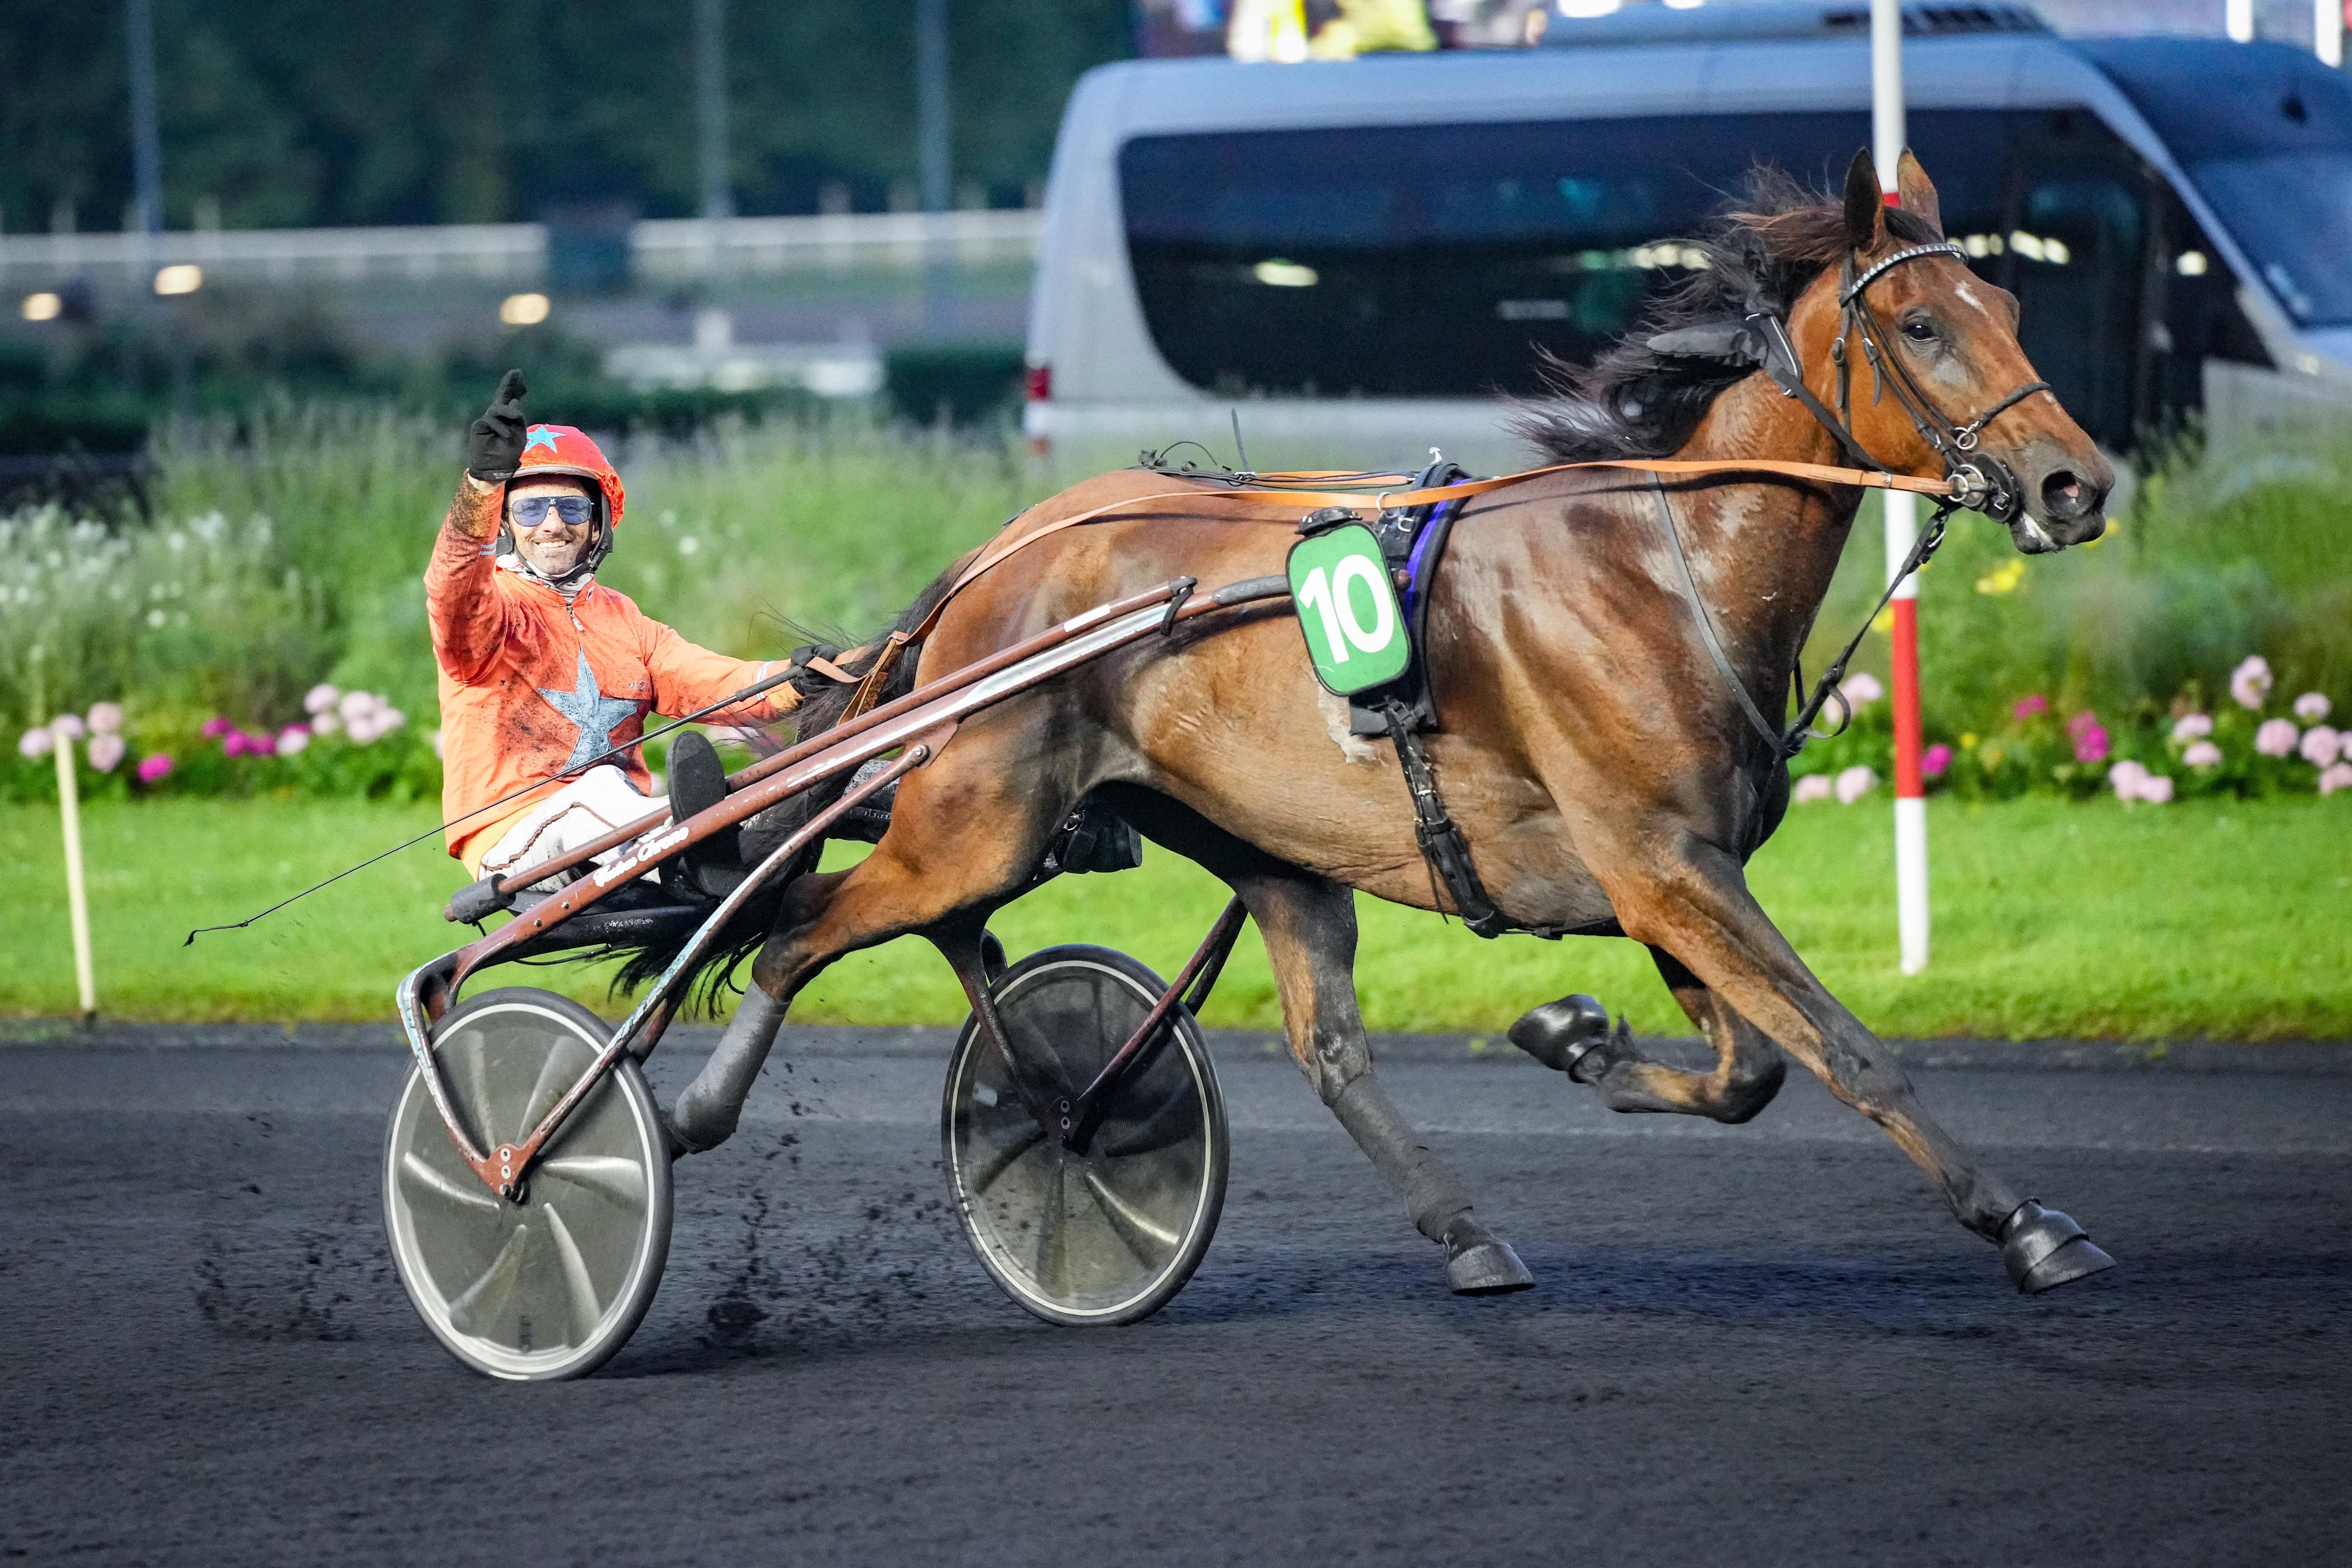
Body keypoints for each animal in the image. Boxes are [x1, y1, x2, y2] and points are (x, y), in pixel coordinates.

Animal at [659, 150, 2117, 1297]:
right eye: (1920, 324)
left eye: (2005, 302)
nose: (2077, 481)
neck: (1662, 568)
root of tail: (995, 557)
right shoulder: (1661, 866)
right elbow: (1843, 1049)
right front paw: (2027, 1223)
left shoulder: (1667, 875)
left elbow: (1749, 1067)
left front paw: (1577, 1039)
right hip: (976, 823)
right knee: (799, 931)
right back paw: (687, 1111)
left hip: (1267, 849)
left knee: (1323, 1049)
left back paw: (1415, 1217)